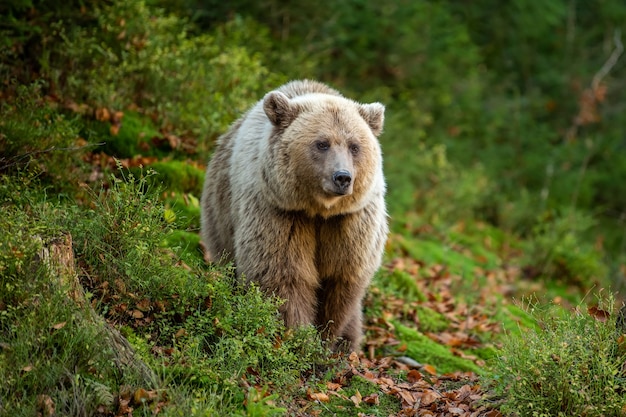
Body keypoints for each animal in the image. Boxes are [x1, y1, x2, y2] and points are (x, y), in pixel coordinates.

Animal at [200, 79, 386, 348]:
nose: (342, 177)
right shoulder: (279, 212)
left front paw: (328, 337)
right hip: (220, 212)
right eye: (322, 143)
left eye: (354, 146)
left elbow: (341, 277)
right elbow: (283, 274)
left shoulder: (351, 222)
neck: (319, 209)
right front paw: (299, 336)